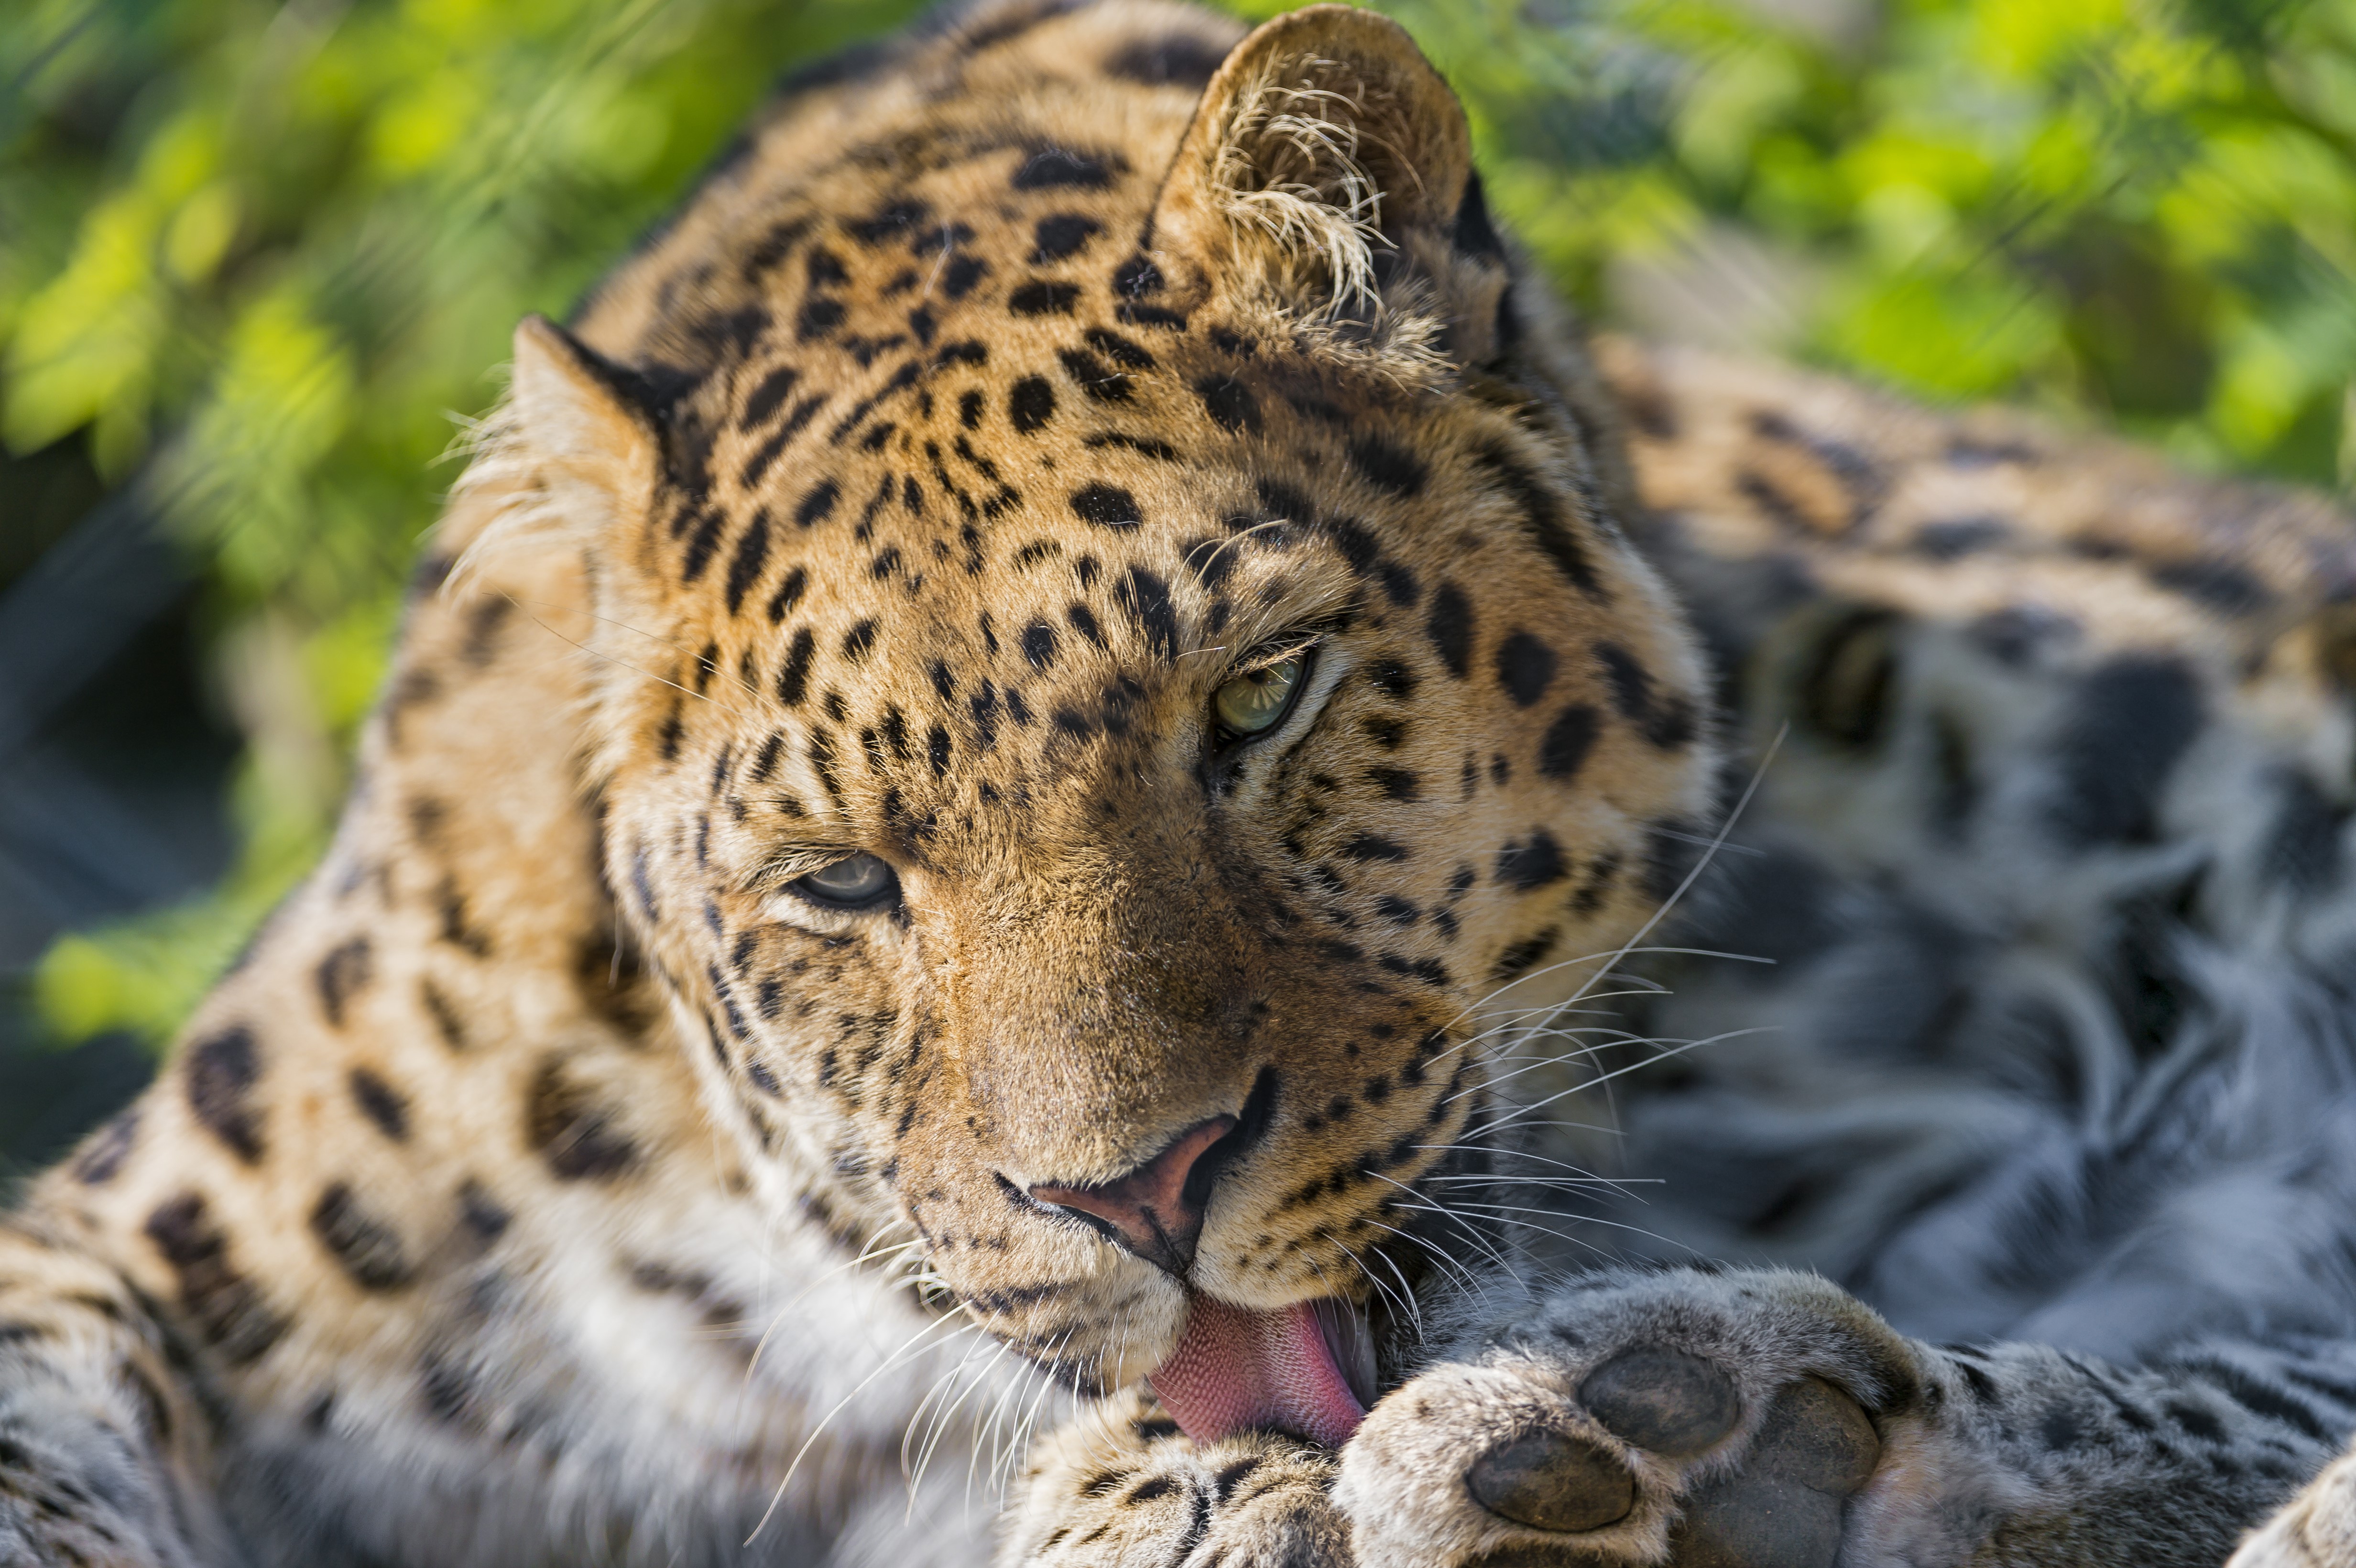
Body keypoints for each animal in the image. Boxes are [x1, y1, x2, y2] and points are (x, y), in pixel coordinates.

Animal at [6, 2, 2356, 1565]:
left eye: (1263, 697)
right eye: (838, 881)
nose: (1136, 1196)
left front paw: (1209, 1488)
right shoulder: (140, 1246)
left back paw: (1652, 1426)